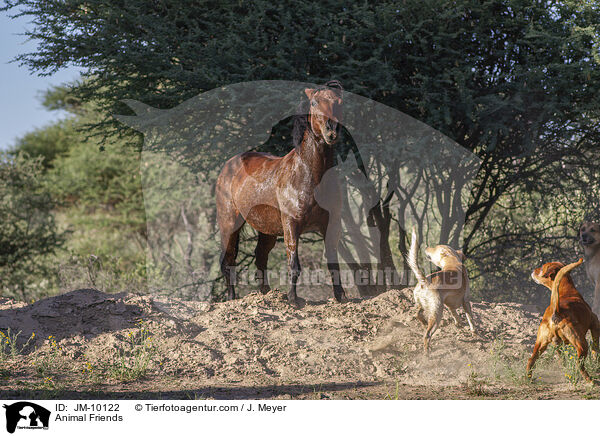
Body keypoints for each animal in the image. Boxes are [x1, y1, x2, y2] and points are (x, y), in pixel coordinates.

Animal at [216, 82, 346, 306]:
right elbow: (294, 265)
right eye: (314, 103)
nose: (331, 133)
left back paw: (267, 295)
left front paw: (340, 297)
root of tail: (229, 165)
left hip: (266, 230)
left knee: (260, 258)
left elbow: (333, 264)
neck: (309, 175)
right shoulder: (291, 224)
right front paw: (293, 299)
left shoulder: (331, 224)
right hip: (229, 224)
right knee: (228, 261)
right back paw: (232, 298)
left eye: (339, 102)